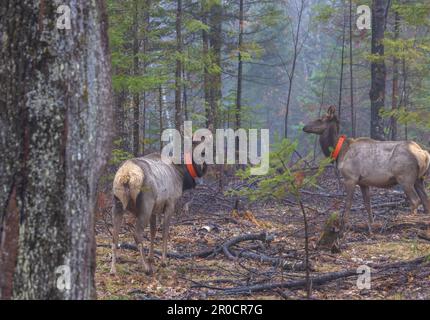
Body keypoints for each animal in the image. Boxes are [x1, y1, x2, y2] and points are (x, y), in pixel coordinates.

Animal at [302, 106, 430, 234]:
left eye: (320, 119)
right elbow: (367, 204)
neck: (340, 152)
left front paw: (343, 228)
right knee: (425, 200)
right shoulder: (363, 182)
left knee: (415, 200)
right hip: (419, 179)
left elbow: (348, 203)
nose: (305, 127)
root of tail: (424, 154)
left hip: (405, 178)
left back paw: (408, 222)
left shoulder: (350, 177)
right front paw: (371, 227)